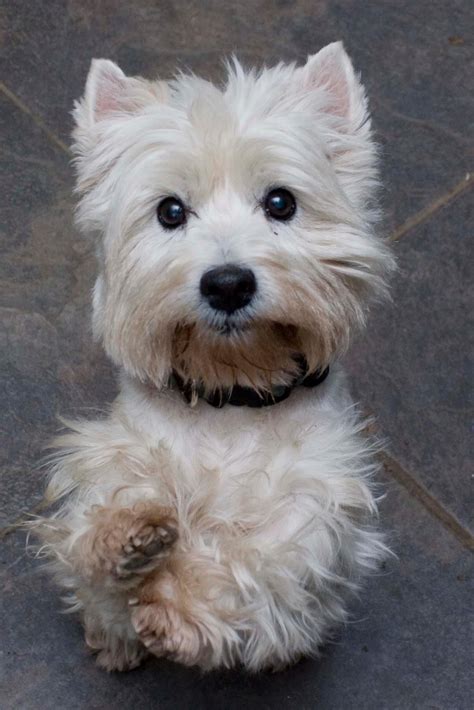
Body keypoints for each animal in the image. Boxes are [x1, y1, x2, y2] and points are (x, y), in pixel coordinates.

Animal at [35, 41, 394, 676]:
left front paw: (178, 611)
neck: (231, 391)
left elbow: (260, 563)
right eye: (171, 211)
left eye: (280, 201)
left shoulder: (318, 510)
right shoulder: (109, 455)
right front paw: (126, 539)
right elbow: (97, 528)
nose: (228, 284)